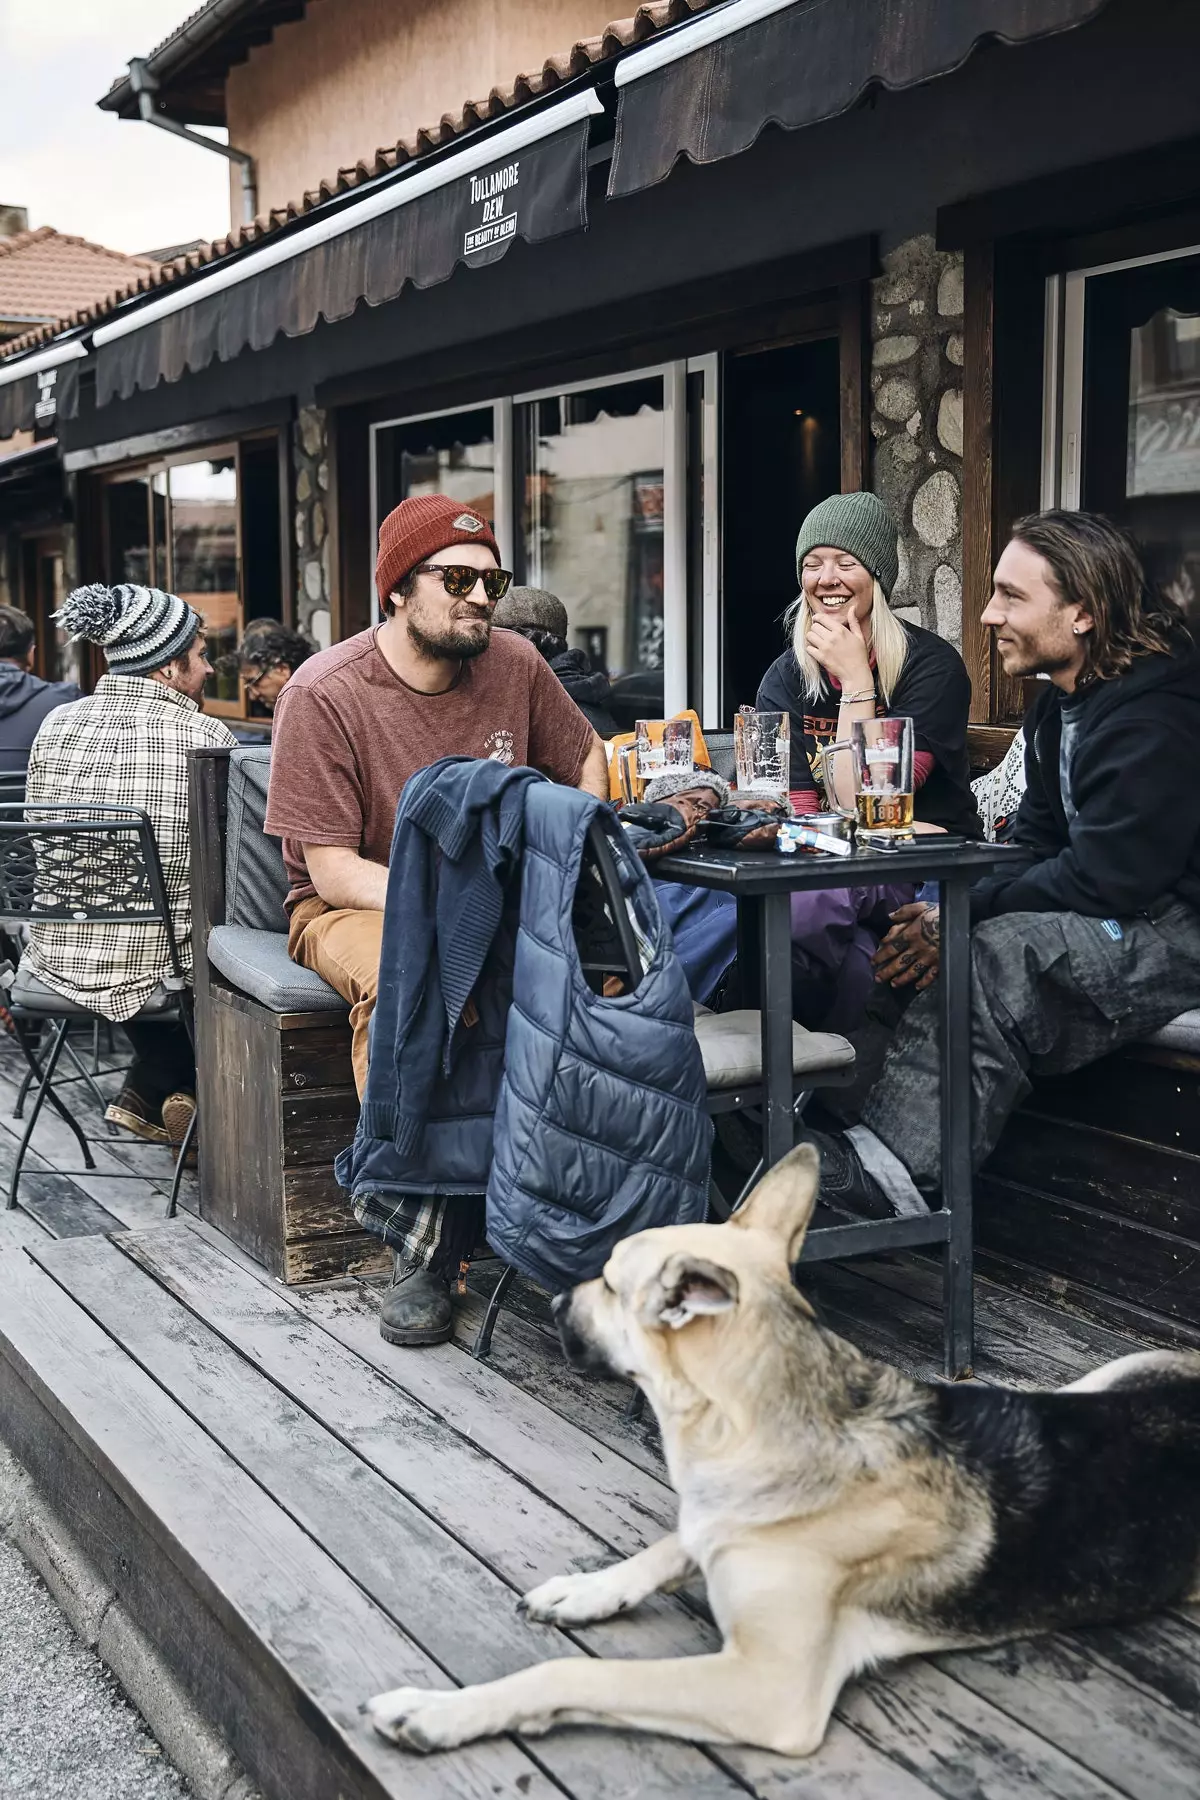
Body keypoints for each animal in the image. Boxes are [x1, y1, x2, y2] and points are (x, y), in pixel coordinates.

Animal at [367, 1144, 1200, 1749]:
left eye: (607, 1283)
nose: (558, 1301)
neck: (750, 1426)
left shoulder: (768, 1689)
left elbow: (575, 1677)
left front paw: (441, 1711)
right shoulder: (716, 1520)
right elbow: (672, 1542)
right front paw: (591, 1587)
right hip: (1101, 1378)